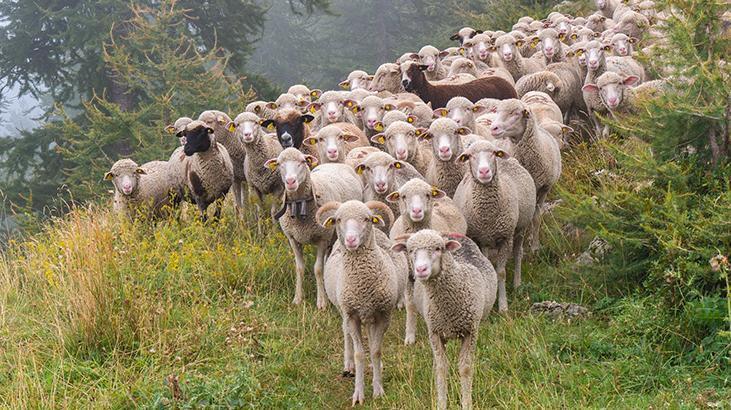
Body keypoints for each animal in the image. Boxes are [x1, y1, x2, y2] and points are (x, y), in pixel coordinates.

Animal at [266, 147, 364, 308]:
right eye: (279, 164)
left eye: (303, 161)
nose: (290, 181)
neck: (300, 204)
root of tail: (334, 164)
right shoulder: (292, 239)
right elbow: (299, 268)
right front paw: (298, 299)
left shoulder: (322, 238)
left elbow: (318, 269)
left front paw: (322, 301)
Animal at [318, 200, 414, 406]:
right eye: (338, 219)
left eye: (366, 219)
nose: (351, 240)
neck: (362, 284)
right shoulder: (351, 315)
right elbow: (359, 353)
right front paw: (358, 394)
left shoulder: (383, 314)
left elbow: (376, 350)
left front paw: (378, 389)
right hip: (344, 310)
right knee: (346, 333)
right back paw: (348, 366)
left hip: (371, 315)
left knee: (371, 338)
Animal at [392, 231, 500, 410]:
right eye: (410, 250)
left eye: (438, 248)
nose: (420, 269)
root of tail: (451, 235)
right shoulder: (434, 333)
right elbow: (441, 368)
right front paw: (441, 403)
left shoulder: (470, 332)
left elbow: (465, 368)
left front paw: (466, 403)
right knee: (411, 307)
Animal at [454, 141, 536, 310]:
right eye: (470, 156)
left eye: (493, 153)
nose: (484, 171)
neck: (487, 217)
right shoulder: (478, 238)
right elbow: (488, 269)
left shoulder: (505, 237)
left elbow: (501, 273)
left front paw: (503, 306)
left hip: (520, 228)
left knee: (518, 253)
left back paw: (517, 284)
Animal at [488, 99, 564, 253]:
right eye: (497, 111)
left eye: (516, 113)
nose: (493, 128)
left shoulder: (544, 188)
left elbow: (536, 217)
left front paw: (535, 246)